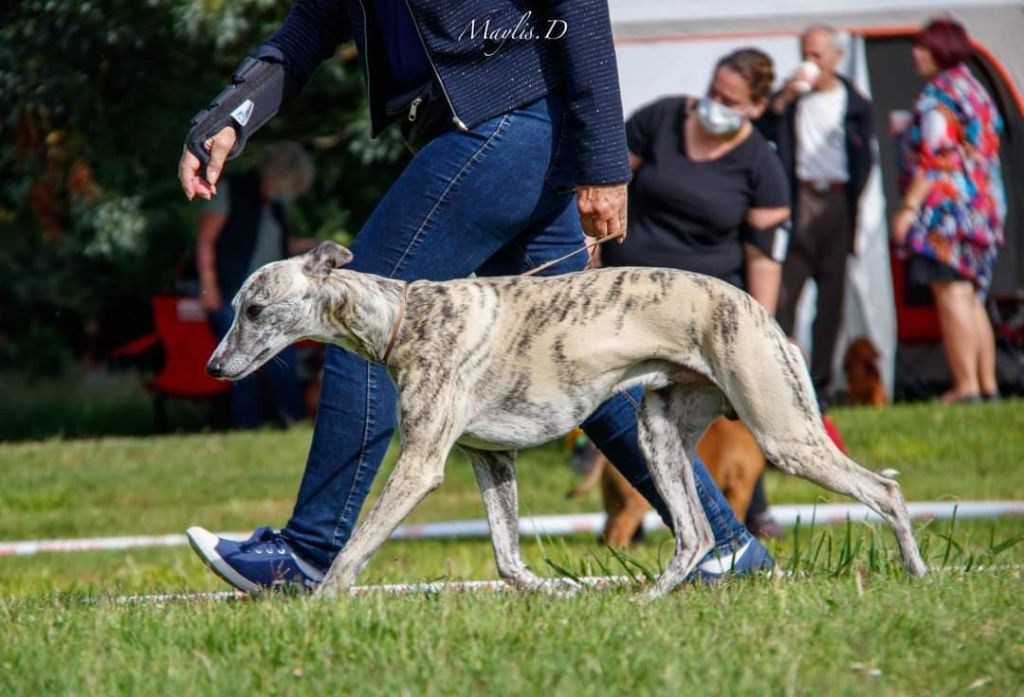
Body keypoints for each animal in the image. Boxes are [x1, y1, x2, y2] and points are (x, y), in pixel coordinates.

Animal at [205, 240, 929, 597]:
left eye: (255, 309)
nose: (214, 366)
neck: (403, 318)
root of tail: (758, 308)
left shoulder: (421, 464)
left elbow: (356, 547)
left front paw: (320, 604)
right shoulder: (490, 457)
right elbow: (507, 559)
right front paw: (553, 594)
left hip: (783, 433)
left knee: (885, 489)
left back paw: (919, 574)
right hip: (659, 430)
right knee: (693, 534)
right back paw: (644, 603)